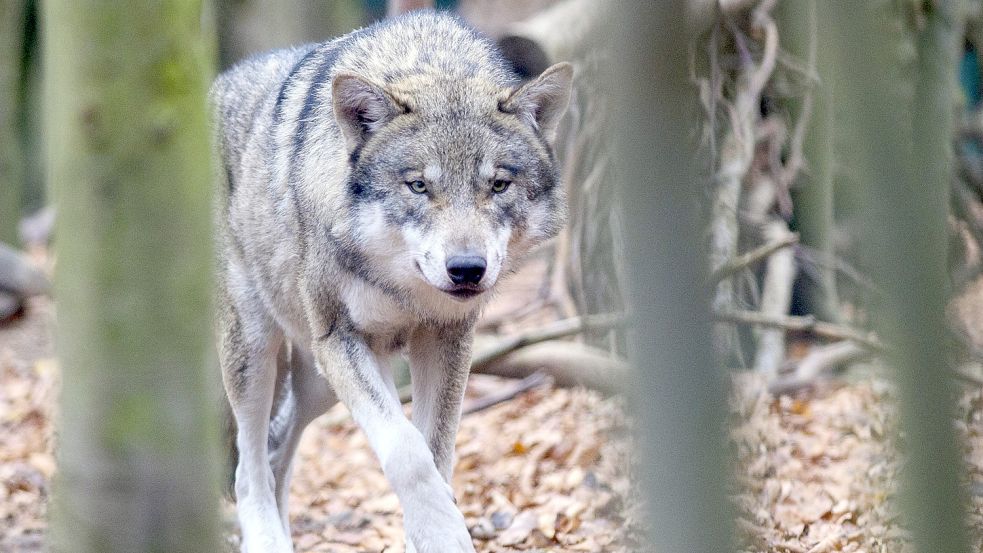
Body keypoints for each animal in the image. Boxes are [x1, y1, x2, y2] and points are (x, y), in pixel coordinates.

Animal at [210, 10, 572, 553]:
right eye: (419, 185)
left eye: (498, 185)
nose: (467, 269)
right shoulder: (341, 340)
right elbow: (406, 450)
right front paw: (443, 533)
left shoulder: (446, 339)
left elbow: (435, 451)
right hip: (258, 351)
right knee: (249, 467)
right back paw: (266, 539)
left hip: (316, 381)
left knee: (278, 453)